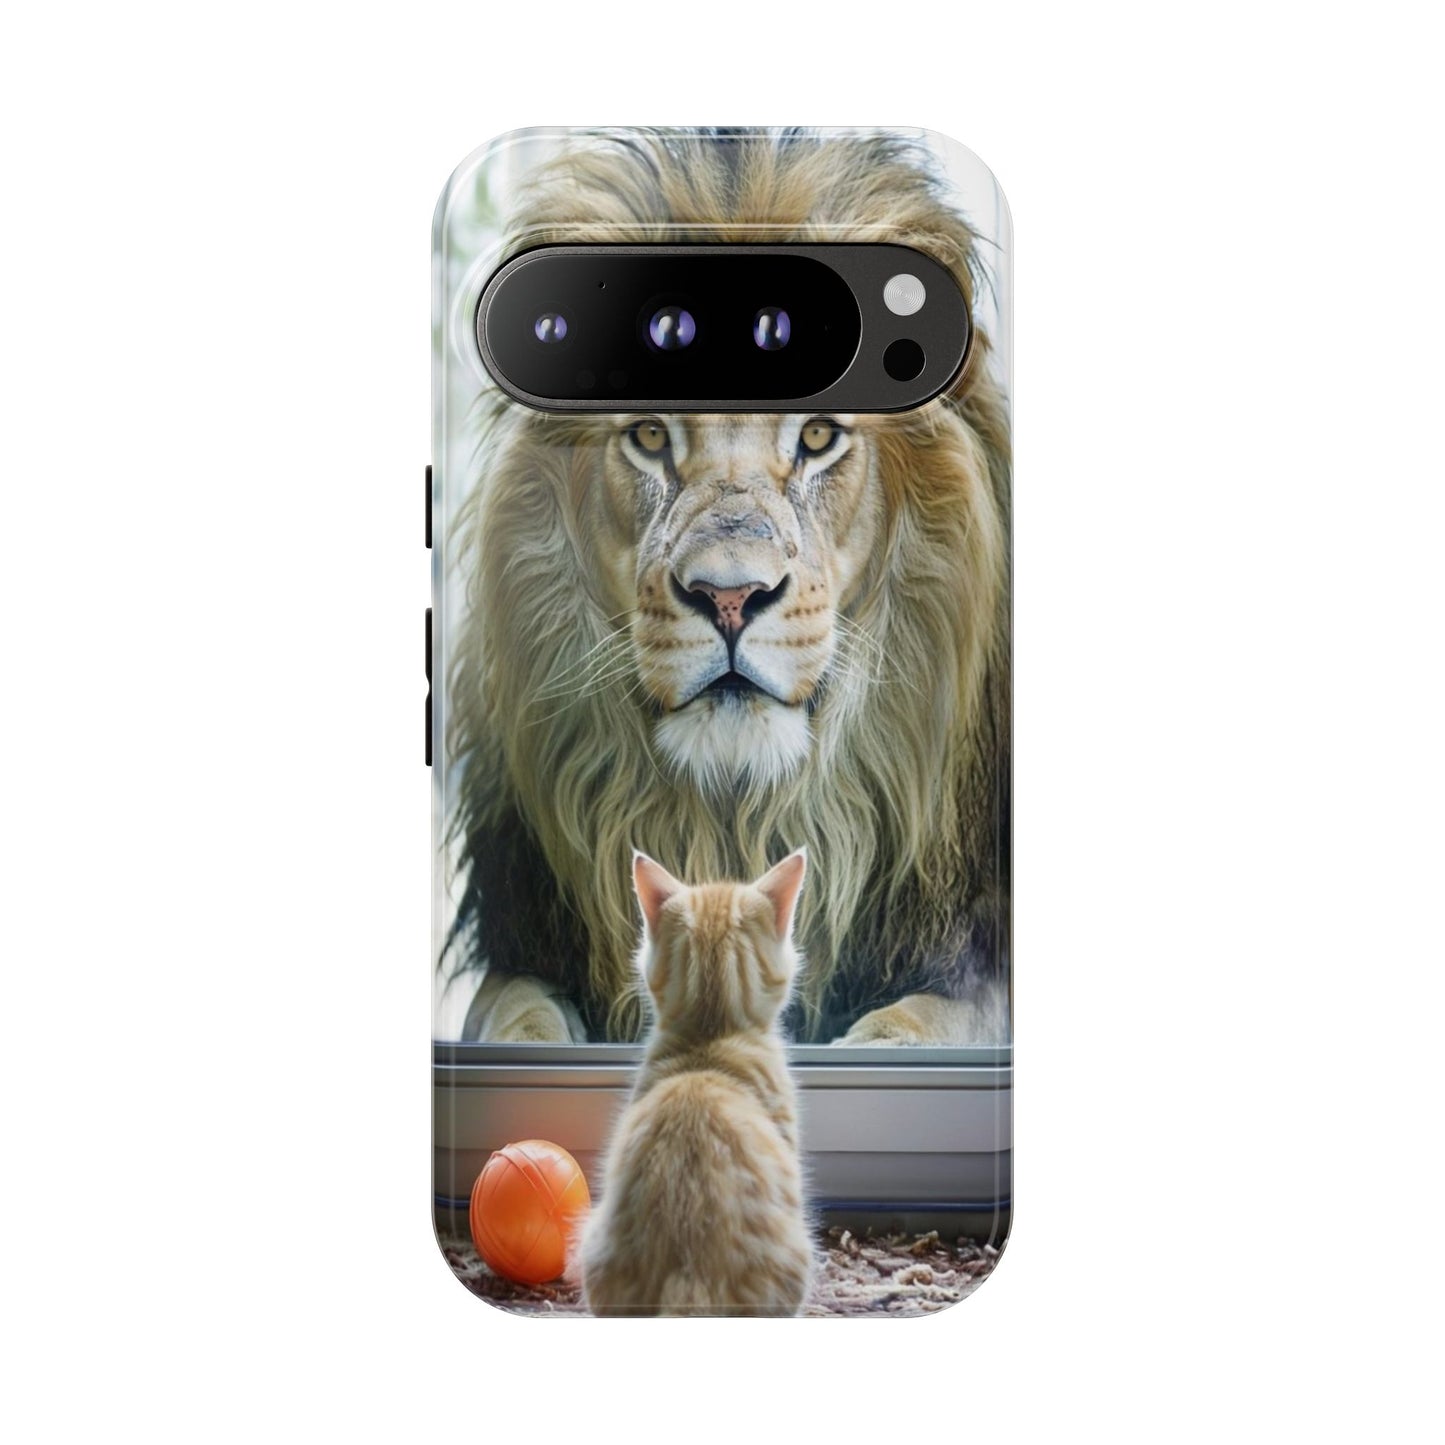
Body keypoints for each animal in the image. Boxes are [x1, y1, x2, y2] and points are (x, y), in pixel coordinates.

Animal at [443, 130, 1010, 1046]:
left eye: (818, 436)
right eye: (647, 436)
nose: (730, 598)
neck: (737, 819)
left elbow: (927, 1021)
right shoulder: (526, 947)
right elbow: (514, 1018)